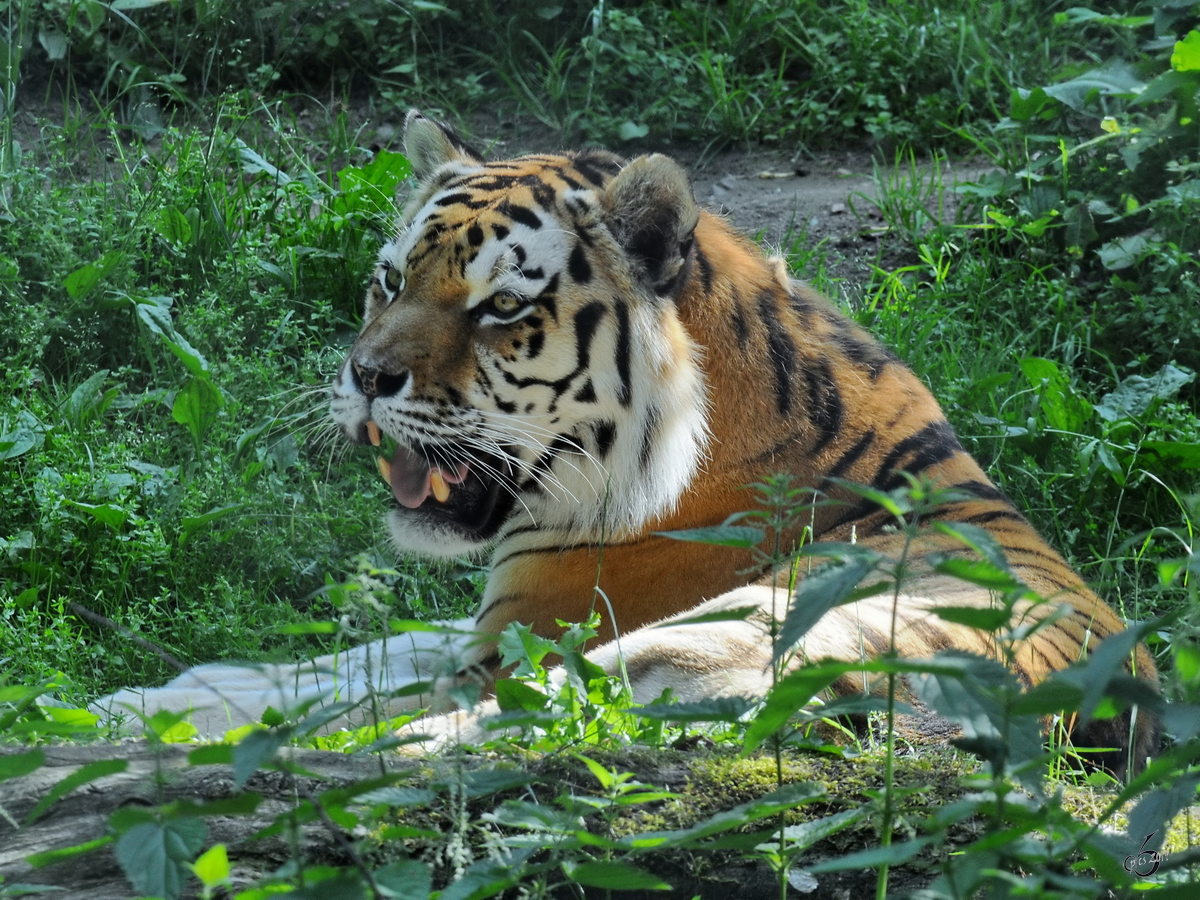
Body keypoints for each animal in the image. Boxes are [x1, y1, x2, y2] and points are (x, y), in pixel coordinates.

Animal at [328, 111, 1152, 777]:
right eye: (391, 281)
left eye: (502, 305)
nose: (365, 376)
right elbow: (348, 659)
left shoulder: (516, 638)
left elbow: (353, 692)